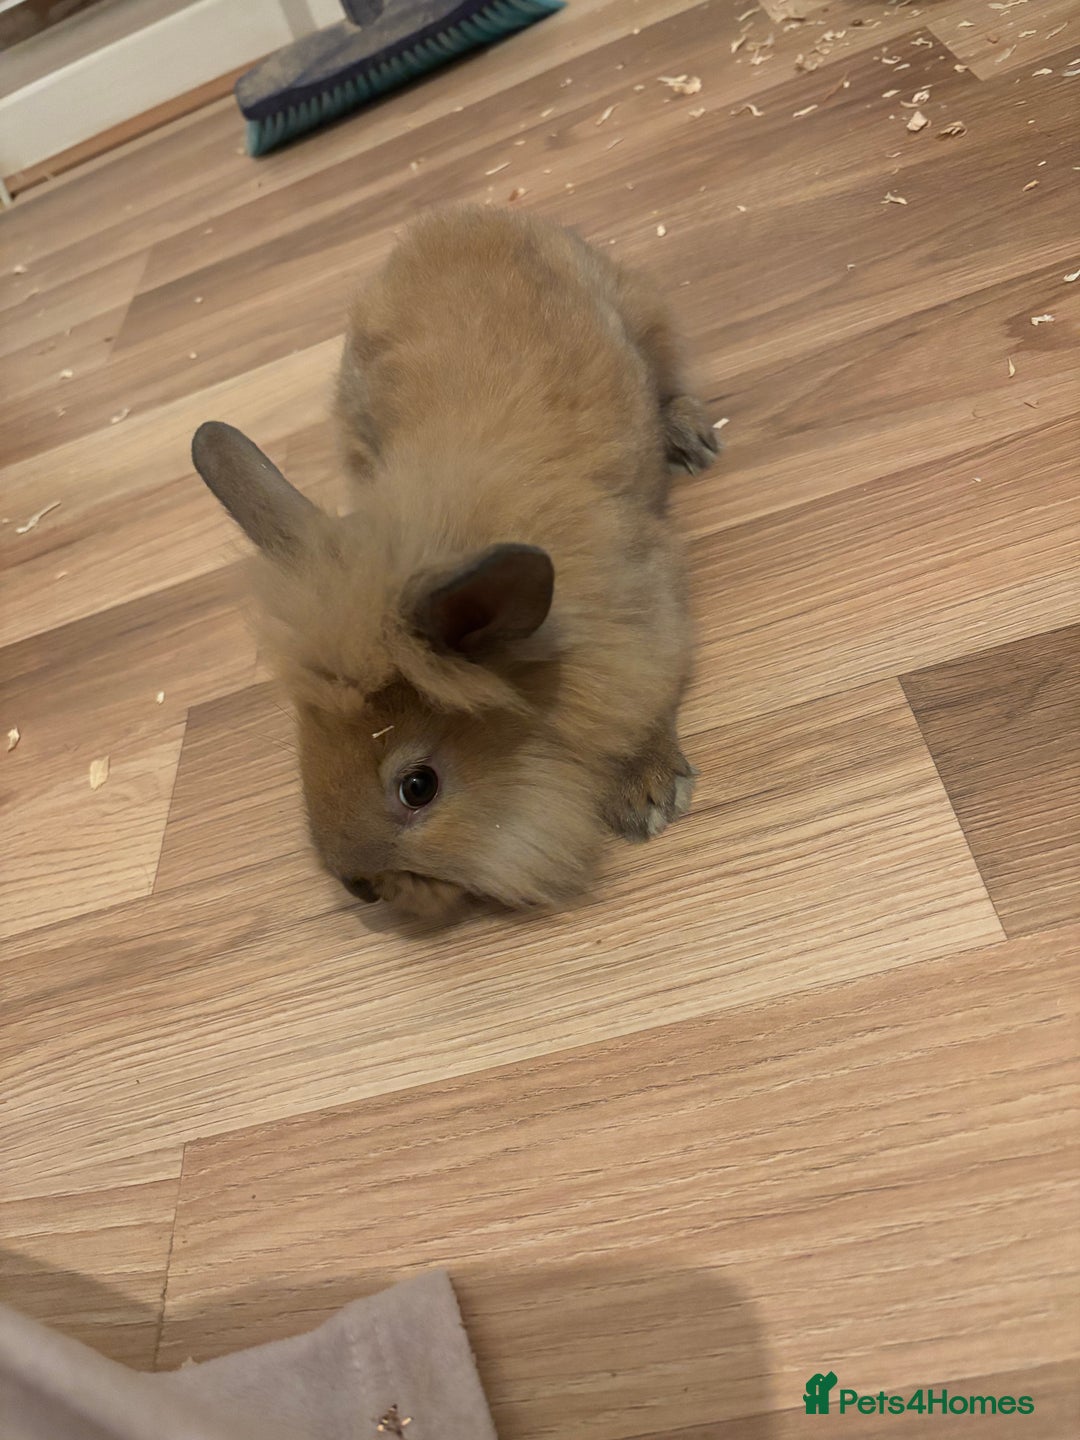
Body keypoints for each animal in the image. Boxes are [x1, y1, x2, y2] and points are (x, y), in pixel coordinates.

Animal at [191, 204, 717, 919]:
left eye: (419, 787)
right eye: (305, 745)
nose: (357, 885)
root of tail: (459, 216)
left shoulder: (649, 618)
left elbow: (642, 704)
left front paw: (650, 794)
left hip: (644, 316)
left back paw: (691, 436)